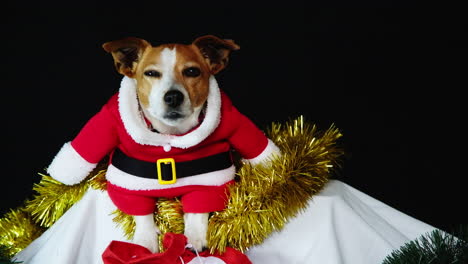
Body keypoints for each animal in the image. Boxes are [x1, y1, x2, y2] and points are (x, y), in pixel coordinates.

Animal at [47, 34, 280, 253]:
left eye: (192, 71)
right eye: (151, 73)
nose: (173, 96)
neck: (170, 135)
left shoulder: (211, 180)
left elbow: (197, 210)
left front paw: (195, 238)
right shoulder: (127, 180)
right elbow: (141, 213)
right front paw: (145, 242)